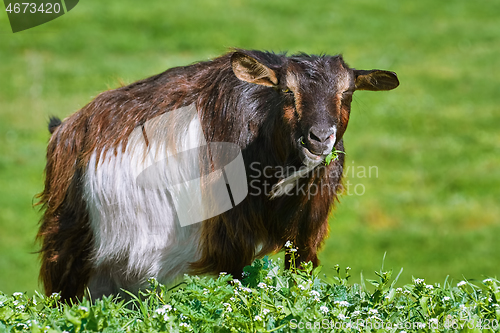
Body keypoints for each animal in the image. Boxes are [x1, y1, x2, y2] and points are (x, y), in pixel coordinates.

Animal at [37, 49, 400, 300]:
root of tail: (65, 128)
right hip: (70, 238)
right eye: (286, 91)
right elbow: (239, 282)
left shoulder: (307, 233)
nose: (320, 138)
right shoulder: (230, 236)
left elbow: (300, 277)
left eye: (347, 93)